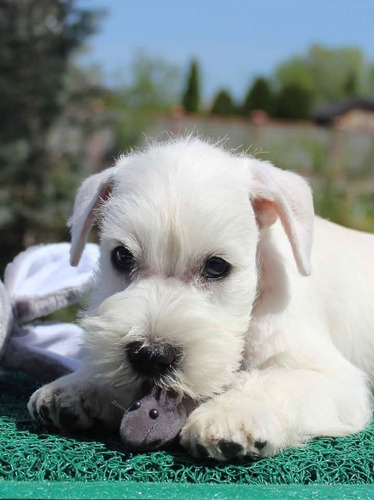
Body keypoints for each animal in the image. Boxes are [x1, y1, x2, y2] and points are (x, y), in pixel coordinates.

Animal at [27, 135, 372, 458]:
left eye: (217, 266)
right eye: (122, 256)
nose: (150, 356)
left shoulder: (334, 378)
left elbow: (276, 383)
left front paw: (230, 414)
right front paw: (78, 385)